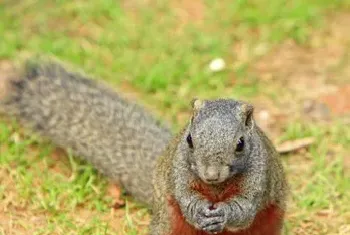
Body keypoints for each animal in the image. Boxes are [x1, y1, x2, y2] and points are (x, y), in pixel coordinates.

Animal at [0, 57, 288, 235]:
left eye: (240, 143)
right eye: (189, 139)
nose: (210, 174)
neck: (216, 189)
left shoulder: (260, 178)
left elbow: (244, 209)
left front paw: (224, 214)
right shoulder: (178, 171)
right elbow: (185, 197)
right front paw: (197, 210)